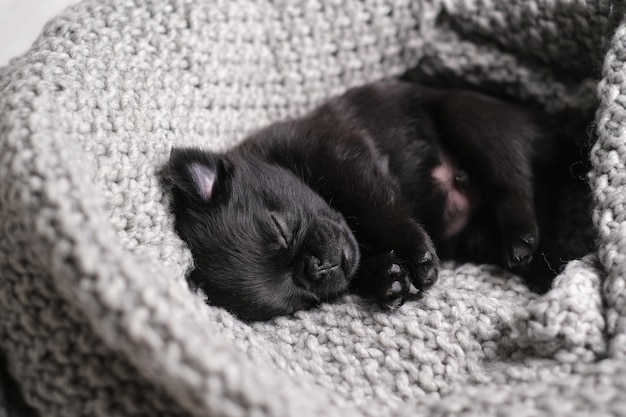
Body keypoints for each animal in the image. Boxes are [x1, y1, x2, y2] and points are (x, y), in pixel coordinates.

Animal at [168, 79, 572, 320]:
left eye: (279, 228)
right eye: (297, 294)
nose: (318, 267)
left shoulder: (342, 158)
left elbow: (379, 209)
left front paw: (416, 253)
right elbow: (363, 266)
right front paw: (387, 278)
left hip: (468, 118)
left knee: (510, 181)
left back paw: (520, 235)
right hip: (473, 236)